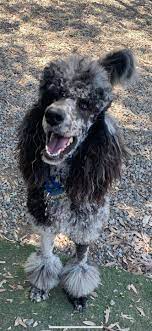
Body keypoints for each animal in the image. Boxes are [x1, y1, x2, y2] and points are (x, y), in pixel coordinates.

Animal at [17, 49, 135, 312]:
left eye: (85, 104)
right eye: (53, 95)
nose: (53, 115)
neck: (62, 180)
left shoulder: (87, 225)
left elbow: (80, 264)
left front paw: (77, 293)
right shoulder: (44, 219)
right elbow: (46, 257)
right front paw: (40, 287)